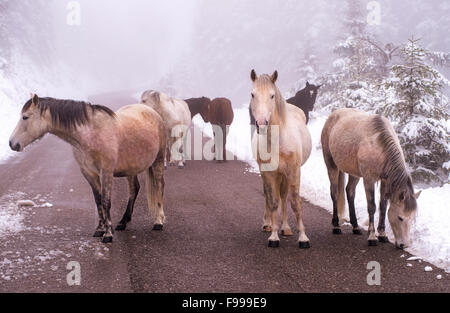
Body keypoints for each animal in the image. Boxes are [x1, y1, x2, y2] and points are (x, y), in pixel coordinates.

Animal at [8, 94, 167, 243]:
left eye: (25, 117)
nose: (12, 143)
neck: (91, 132)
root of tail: (152, 112)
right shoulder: (89, 173)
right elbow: (98, 200)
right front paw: (100, 229)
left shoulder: (106, 172)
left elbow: (106, 201)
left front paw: (108, 235)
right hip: (131, 168)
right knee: (134, 189)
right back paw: (123, 222)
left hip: (158, 161)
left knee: (159, 186)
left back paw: (158, 222)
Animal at [250, 69, 312, 247]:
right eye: (252, 94)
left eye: (272, 96)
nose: (261, 123)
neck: (278, 140)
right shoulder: (270, 173)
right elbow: (273, 202)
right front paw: (274, 236)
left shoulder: (294, 171)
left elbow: (295, 202)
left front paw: (303, 237)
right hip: (270, 173)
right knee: (271, 196)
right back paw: (269, 224)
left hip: (285, 174)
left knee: (284, 196)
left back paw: (286, 227)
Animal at [320, 108, 422, 247]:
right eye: (400, 217)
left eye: (412, 218)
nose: (404, 245)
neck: (380, 146)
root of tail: (333, 115)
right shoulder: (369, 179)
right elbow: (372, 206)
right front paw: (372, 236)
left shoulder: (385, 180)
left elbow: (383, 206)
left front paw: (382, 234)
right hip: (331, 165)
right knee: (334, 193)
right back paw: (336, 226)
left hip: (354, 173)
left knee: (350, 192)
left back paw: (356, 227)